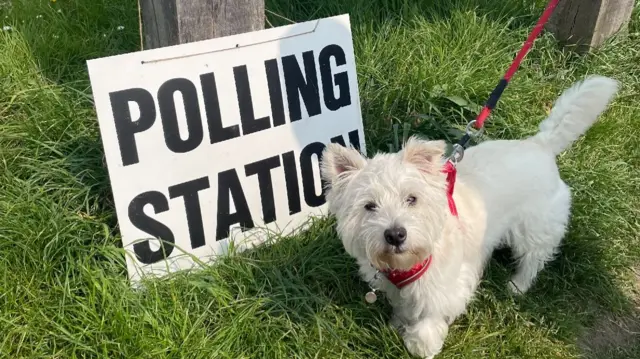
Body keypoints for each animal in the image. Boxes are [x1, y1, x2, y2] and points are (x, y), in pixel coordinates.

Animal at [320, 74, 620, 358]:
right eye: (369, 206)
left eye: (412, 199)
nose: (395, 234)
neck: (407, 264)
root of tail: (540, 144)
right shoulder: (396, 286)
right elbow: (403, 306)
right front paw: (398, 324)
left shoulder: (447, 286)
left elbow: (430, 317)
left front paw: (421, 346)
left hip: (536, 228)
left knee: (534, 258)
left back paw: (517, 285)